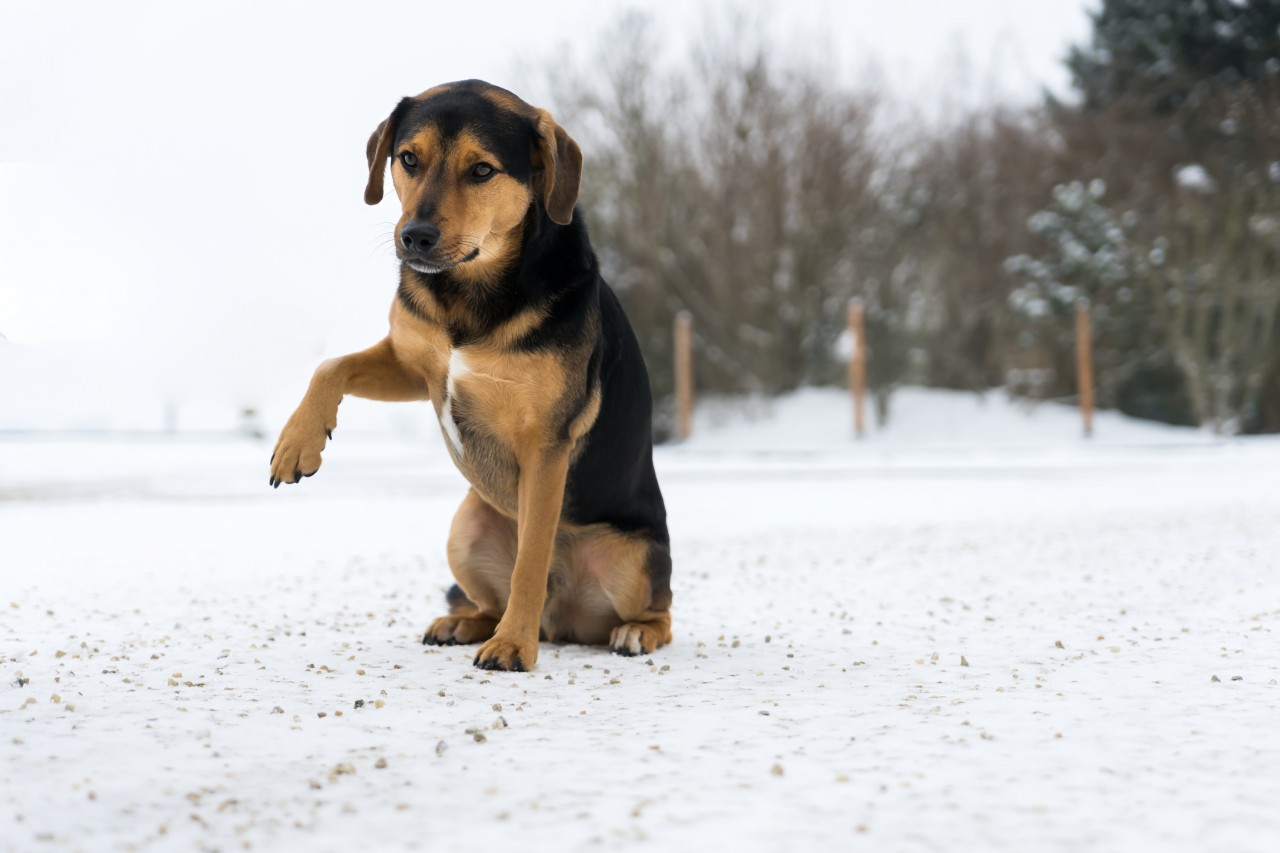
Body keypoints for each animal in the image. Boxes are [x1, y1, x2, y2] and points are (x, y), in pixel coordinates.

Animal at [266, 79, 675, 671]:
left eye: (482, 170)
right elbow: (330, 365)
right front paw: (297, 445)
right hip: (466, 528)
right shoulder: (415, 366)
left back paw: (628, 633)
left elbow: (531, 560)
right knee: (488, 599)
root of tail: (565, 623)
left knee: (659, 610)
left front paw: (512, 647)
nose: (415, 236)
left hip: (633, 557)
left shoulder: (546, 444)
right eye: (408, 159)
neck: (470, 292)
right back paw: (462, 622)